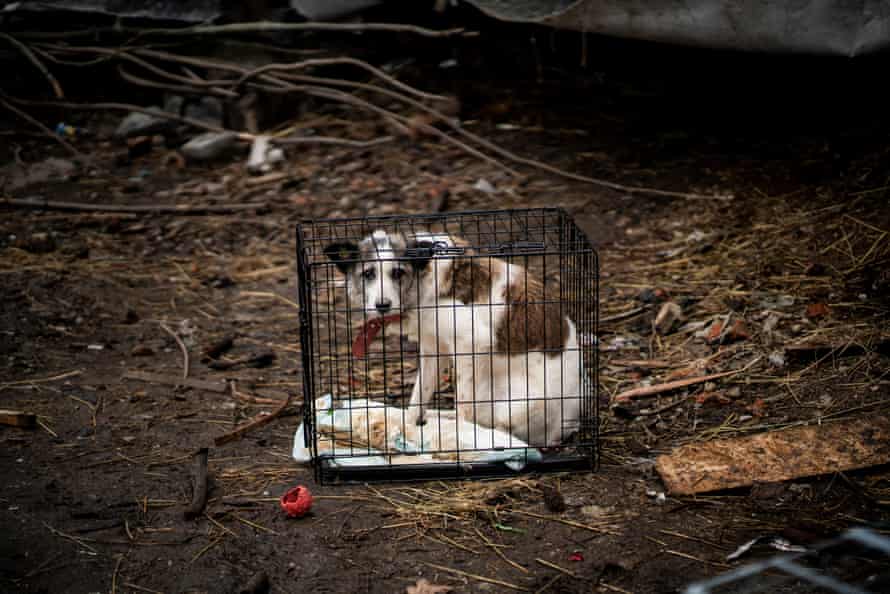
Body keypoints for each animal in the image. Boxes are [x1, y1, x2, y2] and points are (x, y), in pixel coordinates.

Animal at [322, 229, 580, 446]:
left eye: (398, 272)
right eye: (368, 274)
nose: (382, 305)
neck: (422, 281)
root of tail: (565, 427)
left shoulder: (470, 342)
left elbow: (464, 409)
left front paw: (461, 435)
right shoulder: (433, 349)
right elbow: (418, 398)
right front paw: (408, 425)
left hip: (518, 402)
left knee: (496, 427)